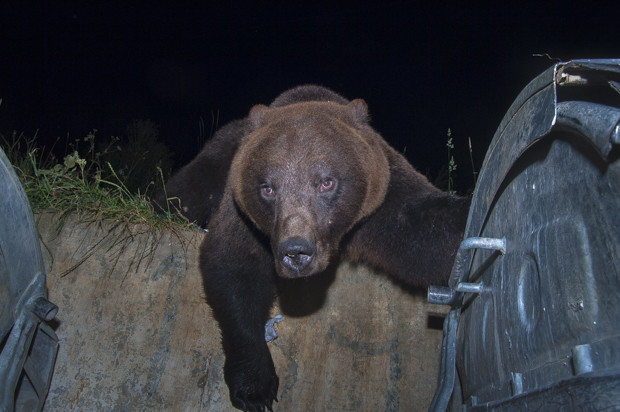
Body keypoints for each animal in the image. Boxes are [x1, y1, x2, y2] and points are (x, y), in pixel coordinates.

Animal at [156, 85, 470, 410]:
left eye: (326, 182)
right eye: (268, 187)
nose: (296, 251)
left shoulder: (384, 196)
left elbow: (431, 234)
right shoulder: (243, 215)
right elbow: (233, 268)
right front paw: (255, 386)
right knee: (189, 188)